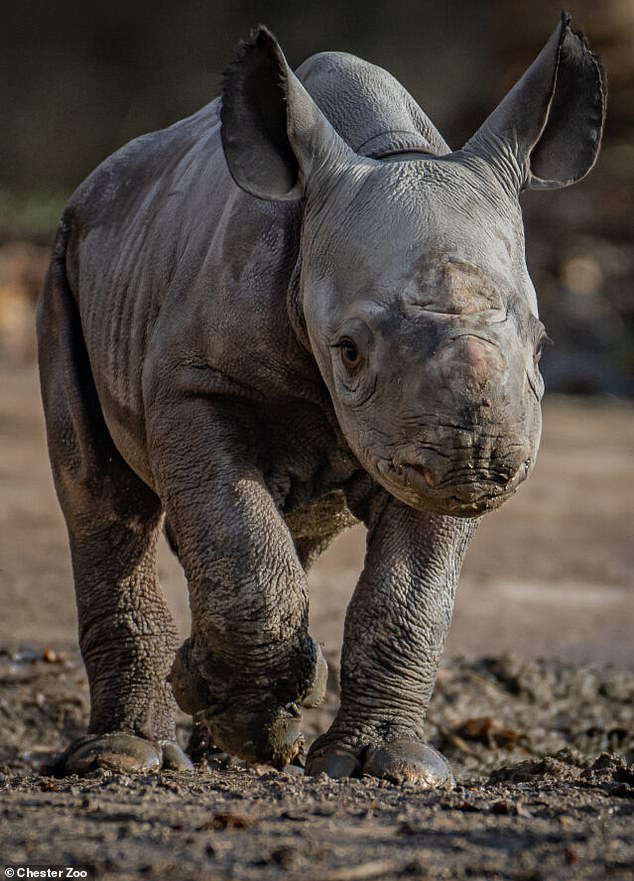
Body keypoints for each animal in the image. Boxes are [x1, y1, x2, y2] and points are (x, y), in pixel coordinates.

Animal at [38, 15, 604, 784]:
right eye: (350, 351)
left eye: (543, 347)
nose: (478, 463)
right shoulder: (195, 381)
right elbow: (237, 534)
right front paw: (233, 705)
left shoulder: (423, 442)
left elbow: (411, 593)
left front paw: (383, 765)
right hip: (66, 260)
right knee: (101, 499)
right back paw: (131, 757)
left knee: (284, 528)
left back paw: (232, 744)